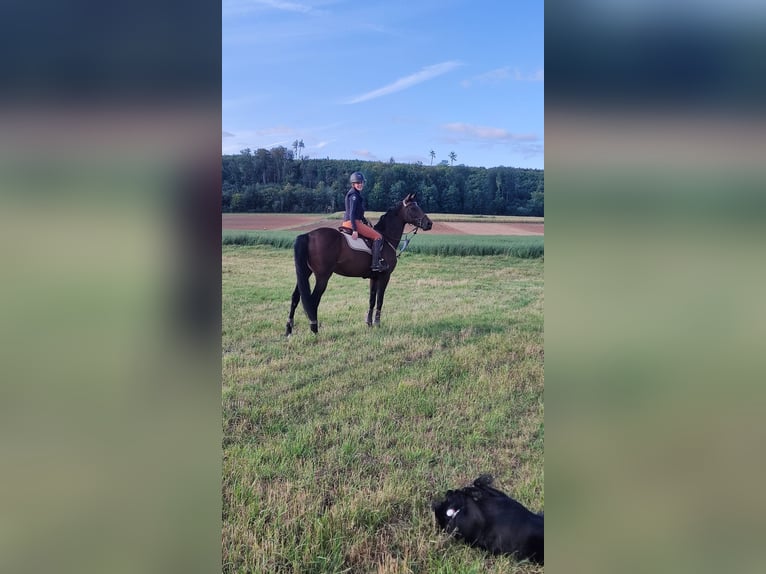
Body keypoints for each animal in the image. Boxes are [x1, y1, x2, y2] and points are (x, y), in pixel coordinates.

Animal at [286, 195, 432, 338]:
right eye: (413, 208)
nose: (429, 223)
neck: (386, 239)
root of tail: (308, 235)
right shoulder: (385, 276)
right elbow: (380, 299)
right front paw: (377, 324)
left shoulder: (374, 277)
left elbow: (372, 299)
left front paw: (369, 323)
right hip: (322, 277)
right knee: (313, 300)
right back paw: (314, 329)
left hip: (305, 273)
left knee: (295, 297)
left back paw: (288, 330)